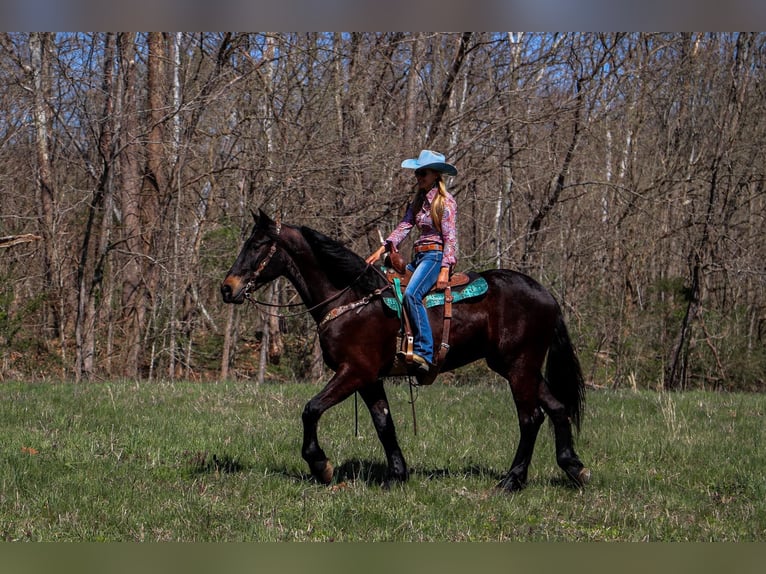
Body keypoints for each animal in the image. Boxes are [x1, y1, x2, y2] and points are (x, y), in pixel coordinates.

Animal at [219, 214, 592, 492]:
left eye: (256, 245)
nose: (227, 288)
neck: (351, 298)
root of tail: (546, 294)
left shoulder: (353, 372)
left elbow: (310, 410)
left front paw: (320, 465)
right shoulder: (369, 379)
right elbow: (385, 424)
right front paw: (397, 474)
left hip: (519, 367)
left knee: (530, 418)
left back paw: (512, 481)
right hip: (520, 367)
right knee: (557, 409)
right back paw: (574, 468)